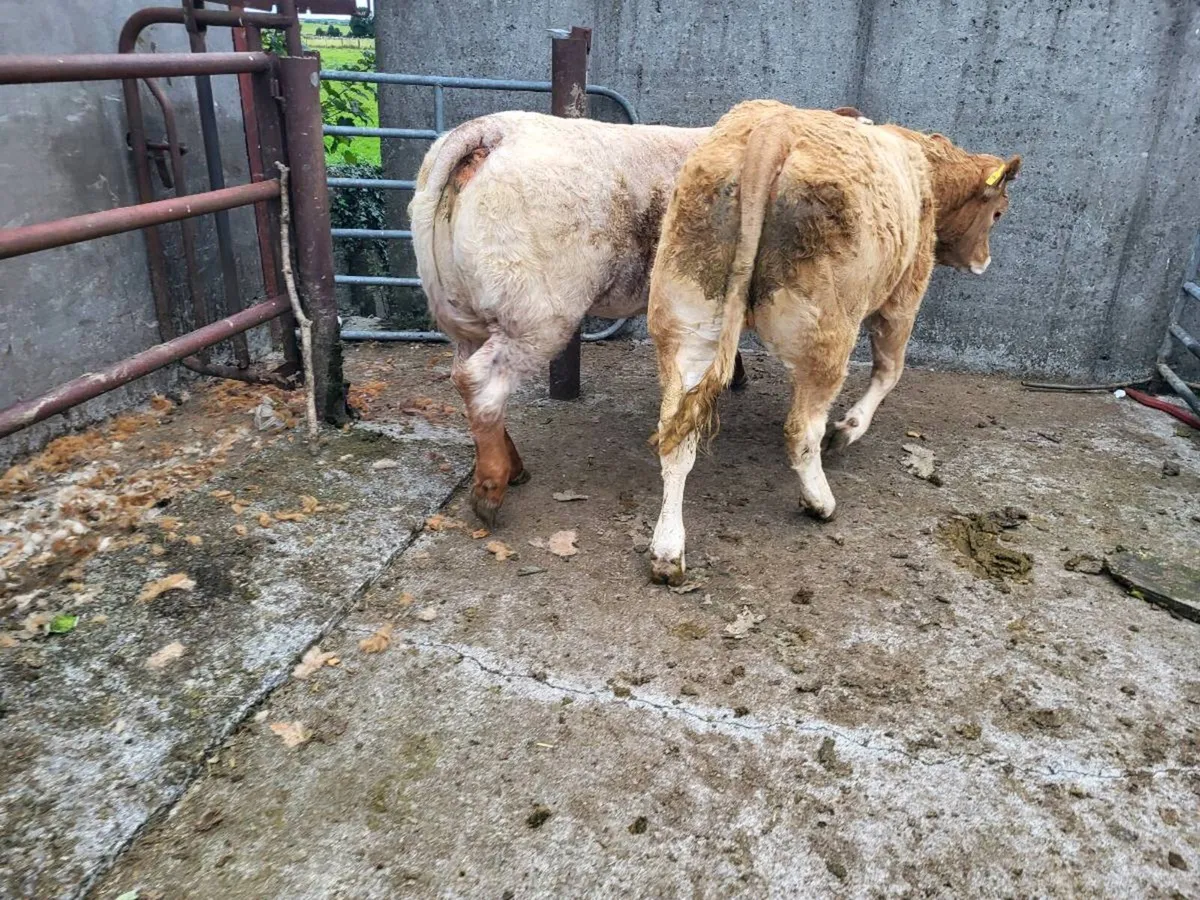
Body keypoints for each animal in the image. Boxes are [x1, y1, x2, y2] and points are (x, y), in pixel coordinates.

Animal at [408, 107, 871, 526]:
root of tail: (490, 130)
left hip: (462, 310)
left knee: (463, 375)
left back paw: (513, 466)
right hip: (535, 314)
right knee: (482, 381)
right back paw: (491, 488)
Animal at [645, 99, 1020, 585]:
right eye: (998, 213)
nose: (984, 262)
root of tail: (773, 132)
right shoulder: (904, 296)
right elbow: (890, 369)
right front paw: (849, 429)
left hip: (687, 322)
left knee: (677, 434)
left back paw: (668, 551)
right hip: (826, 332)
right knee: (801, 429)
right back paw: (820, 502)